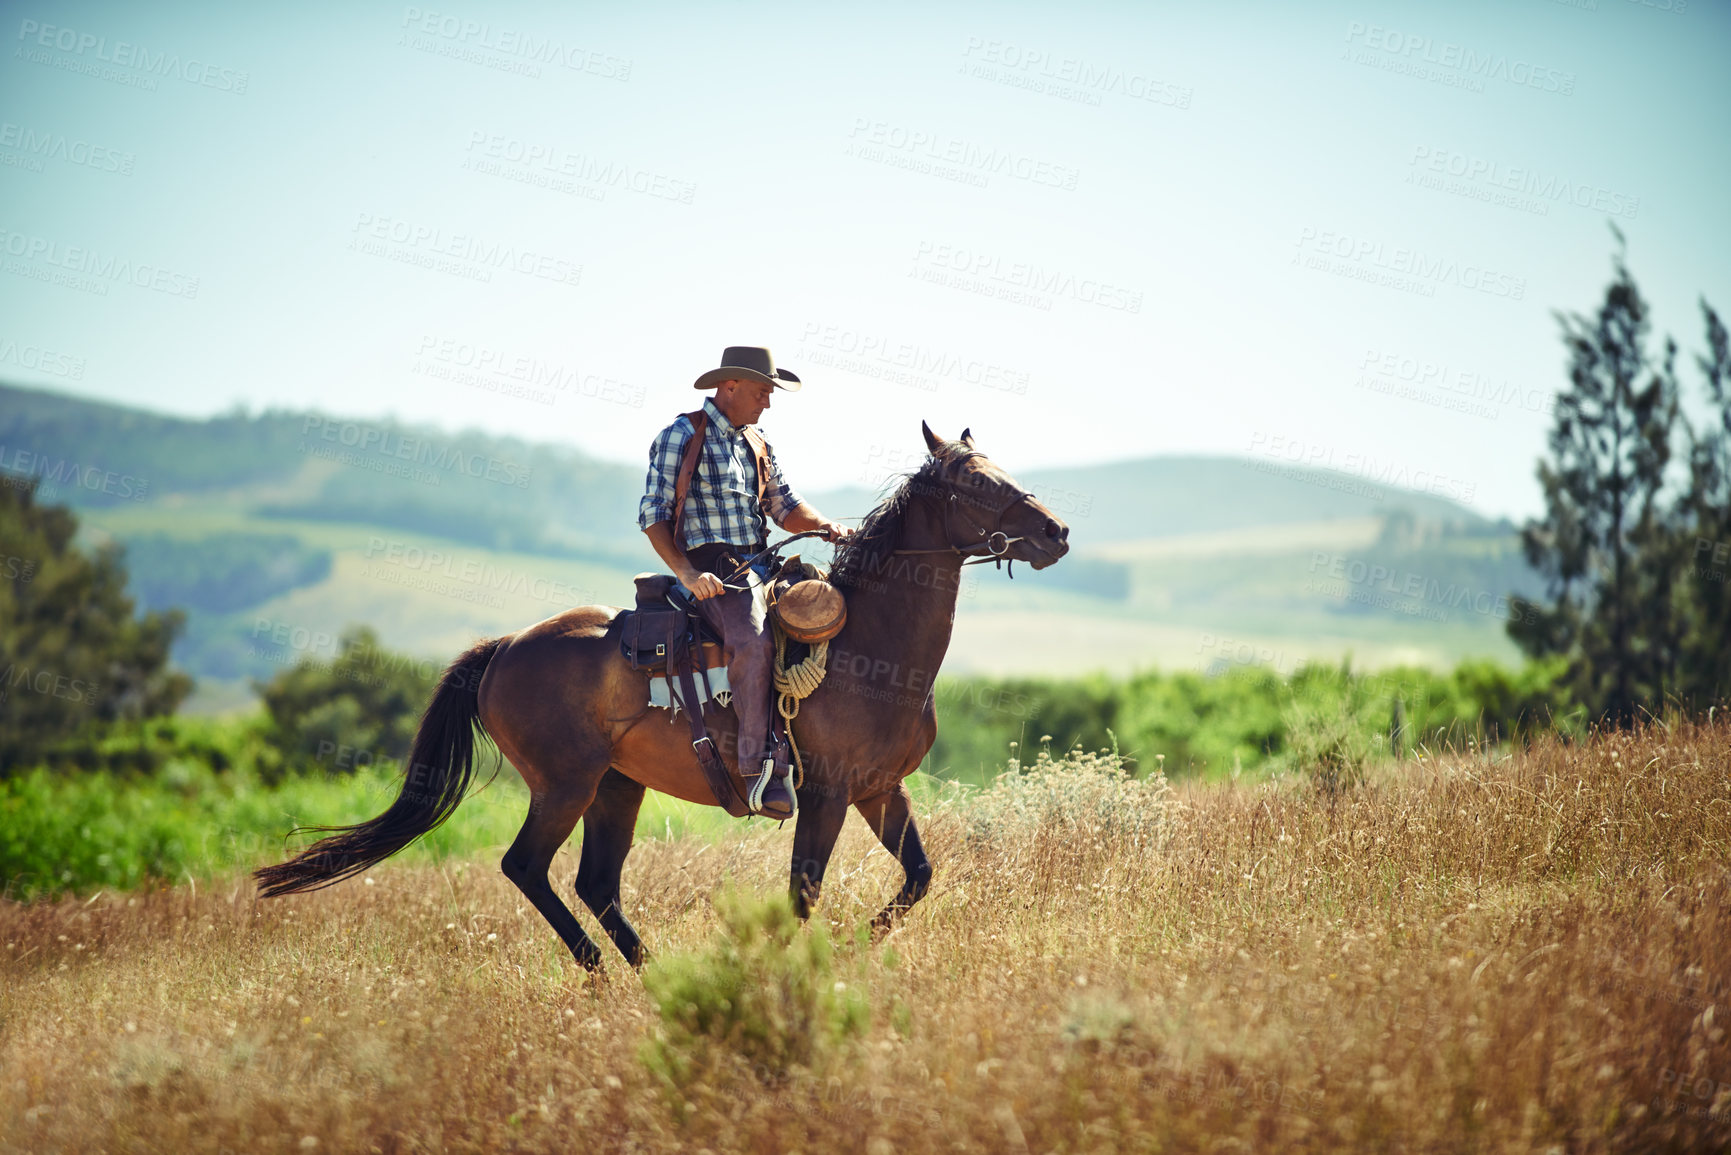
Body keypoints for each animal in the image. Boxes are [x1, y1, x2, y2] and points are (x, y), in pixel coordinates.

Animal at [256, 424, 1066, 969]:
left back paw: (646, 971)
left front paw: (853, 948)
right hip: (565, 784)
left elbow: (917, 877)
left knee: (595, 882)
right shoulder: (827, 791)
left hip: (617, 786)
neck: (869, 647)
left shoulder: (879, 789)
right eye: (976, 484)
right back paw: (597, 969)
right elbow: (803, 891)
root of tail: (504, 649)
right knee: (527, 867)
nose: (1055, 531)